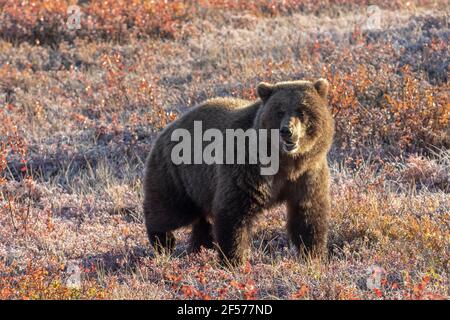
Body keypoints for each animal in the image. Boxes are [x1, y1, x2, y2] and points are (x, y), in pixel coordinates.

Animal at [143, 79, 334, 264]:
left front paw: (313, 255)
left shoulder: (308, 174)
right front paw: (233, 260)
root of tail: (167, 128)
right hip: (177, 174)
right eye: (279, 111)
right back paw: (163, 242)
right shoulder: (248, 169)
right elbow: (234, 213)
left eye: (302, 110)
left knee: (200, 220)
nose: (287, 131)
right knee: (168, 210)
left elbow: (308, 214)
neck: (287, 163)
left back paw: (201, 246)